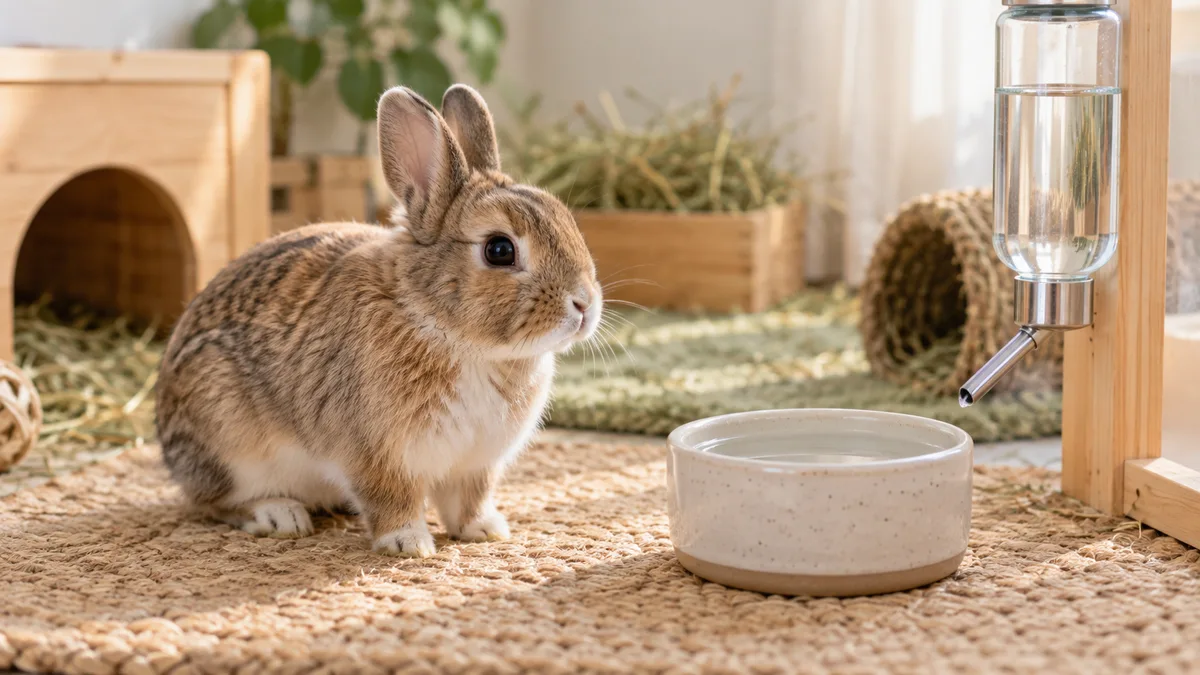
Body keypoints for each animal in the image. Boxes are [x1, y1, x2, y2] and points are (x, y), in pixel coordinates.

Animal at [154, 84, 602, 557]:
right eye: (500, 250)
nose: (584, 304)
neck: (445, 328)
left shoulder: (475, 463)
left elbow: (469, 500)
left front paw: (485, 530)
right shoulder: (377, 454)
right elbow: (392, 498)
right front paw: (408, 543)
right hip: (228, 438)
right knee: (212, 503)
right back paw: (279, 515)